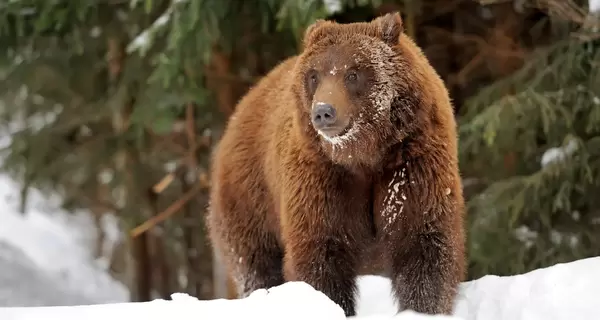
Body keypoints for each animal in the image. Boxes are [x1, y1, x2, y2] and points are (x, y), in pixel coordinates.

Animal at [209, 11, 466, 318]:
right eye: (314, 75)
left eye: (352, 73)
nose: (323, 111)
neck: (363, 155)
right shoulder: (322, 178)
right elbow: (320, 254)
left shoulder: (411, 165)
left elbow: (422, 245)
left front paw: (422, 308)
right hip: (250, 199)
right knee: (255, 264)